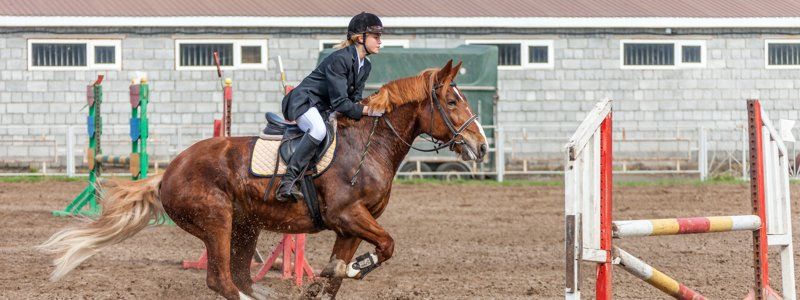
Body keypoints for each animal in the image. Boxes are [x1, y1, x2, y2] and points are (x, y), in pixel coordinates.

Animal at [39, 59, 488, 298]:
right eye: (452, 101)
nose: (482, 148)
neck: (369, 145)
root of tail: (169, 173)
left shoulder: (351, 227)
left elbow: (337, 273)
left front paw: (337, 274)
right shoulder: (348, 217)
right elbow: (385, 247)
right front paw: (357, 269)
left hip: (245, 226)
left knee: (237, 274)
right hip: (217, 222)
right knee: (221, 280)